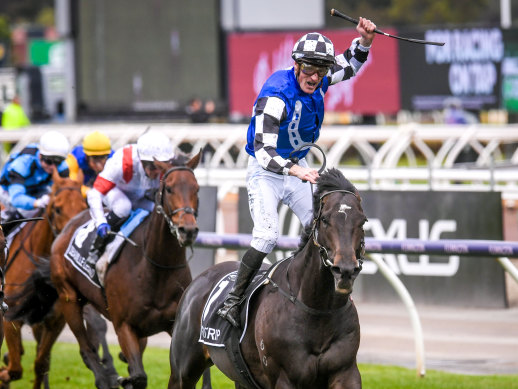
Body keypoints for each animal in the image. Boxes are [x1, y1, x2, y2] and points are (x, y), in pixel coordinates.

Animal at [169, 168, 368, 388]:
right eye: (325, 219)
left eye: (363, 221)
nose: (345, 270)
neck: (317, 309)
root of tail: (199, 279)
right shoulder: (284, 377)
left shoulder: (346, 372)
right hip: (182, 371)